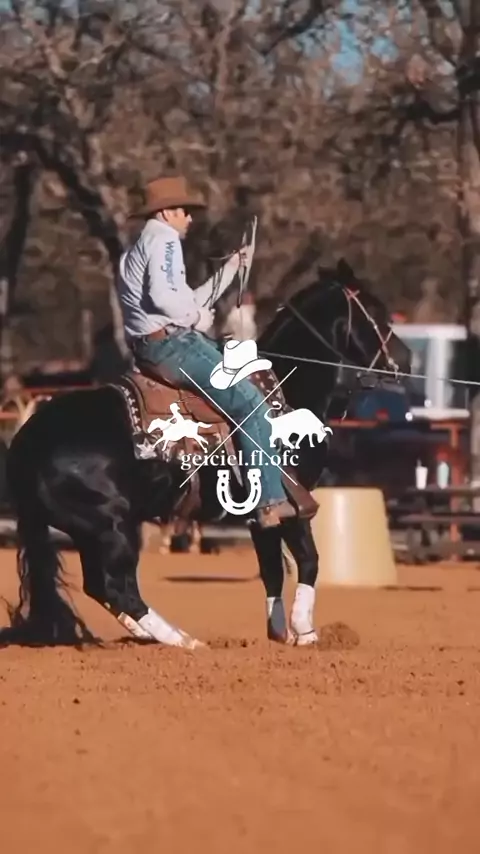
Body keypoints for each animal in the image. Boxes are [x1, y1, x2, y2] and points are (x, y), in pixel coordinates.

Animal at [0, 258, 411, 649]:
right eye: (376, 308)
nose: (405, 360)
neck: (283, 393)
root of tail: (25, 443)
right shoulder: (294, 500)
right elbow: (309, 561)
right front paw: (306, 633)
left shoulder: (263, 513)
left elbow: (272, 569)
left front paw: (279, 632)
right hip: (112, 524)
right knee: (115, 586)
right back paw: (183, 640)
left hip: (94, 529)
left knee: (104, 587)